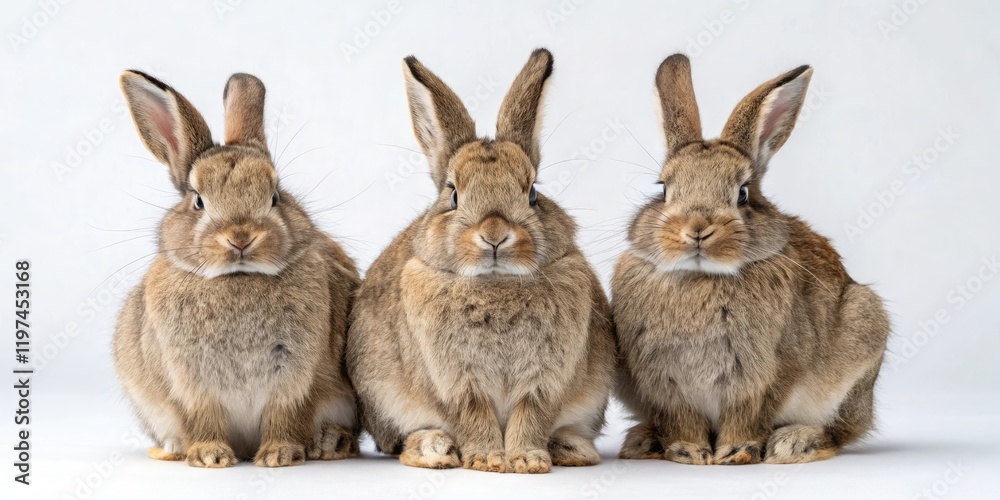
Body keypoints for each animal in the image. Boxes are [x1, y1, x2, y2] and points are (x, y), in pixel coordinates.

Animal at [112, 70, 361, 468]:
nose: (241, 237)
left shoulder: (295, 379)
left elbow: (284, 417)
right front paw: (210, 456)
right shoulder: (192, 385)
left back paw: (330, 444)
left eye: (275, 196)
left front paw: (278, 455)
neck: (238, 279)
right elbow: (204, 418)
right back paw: (171, 449)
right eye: (198, 201)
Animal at [346, 49, 616, 474]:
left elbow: (530, 415)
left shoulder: (544, 380)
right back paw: (434, 450)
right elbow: (473, 415)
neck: (495, 283)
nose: (494, 234)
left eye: (533, 192)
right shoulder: (455, 382)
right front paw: (489, 460)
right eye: (453, 194)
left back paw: (570, 449)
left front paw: (527, 461)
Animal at [613, 54, 890, 465]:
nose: (697, 228)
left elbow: (749, 414)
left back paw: (794, 443)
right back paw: (644, 442)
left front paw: (735, 453)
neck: (702, 277)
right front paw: (688, 452)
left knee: (841, 431)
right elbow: (683, 419)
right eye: (663, 190)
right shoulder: (666, 383)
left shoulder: (765, 376)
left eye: (743, 193)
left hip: (862, 336)